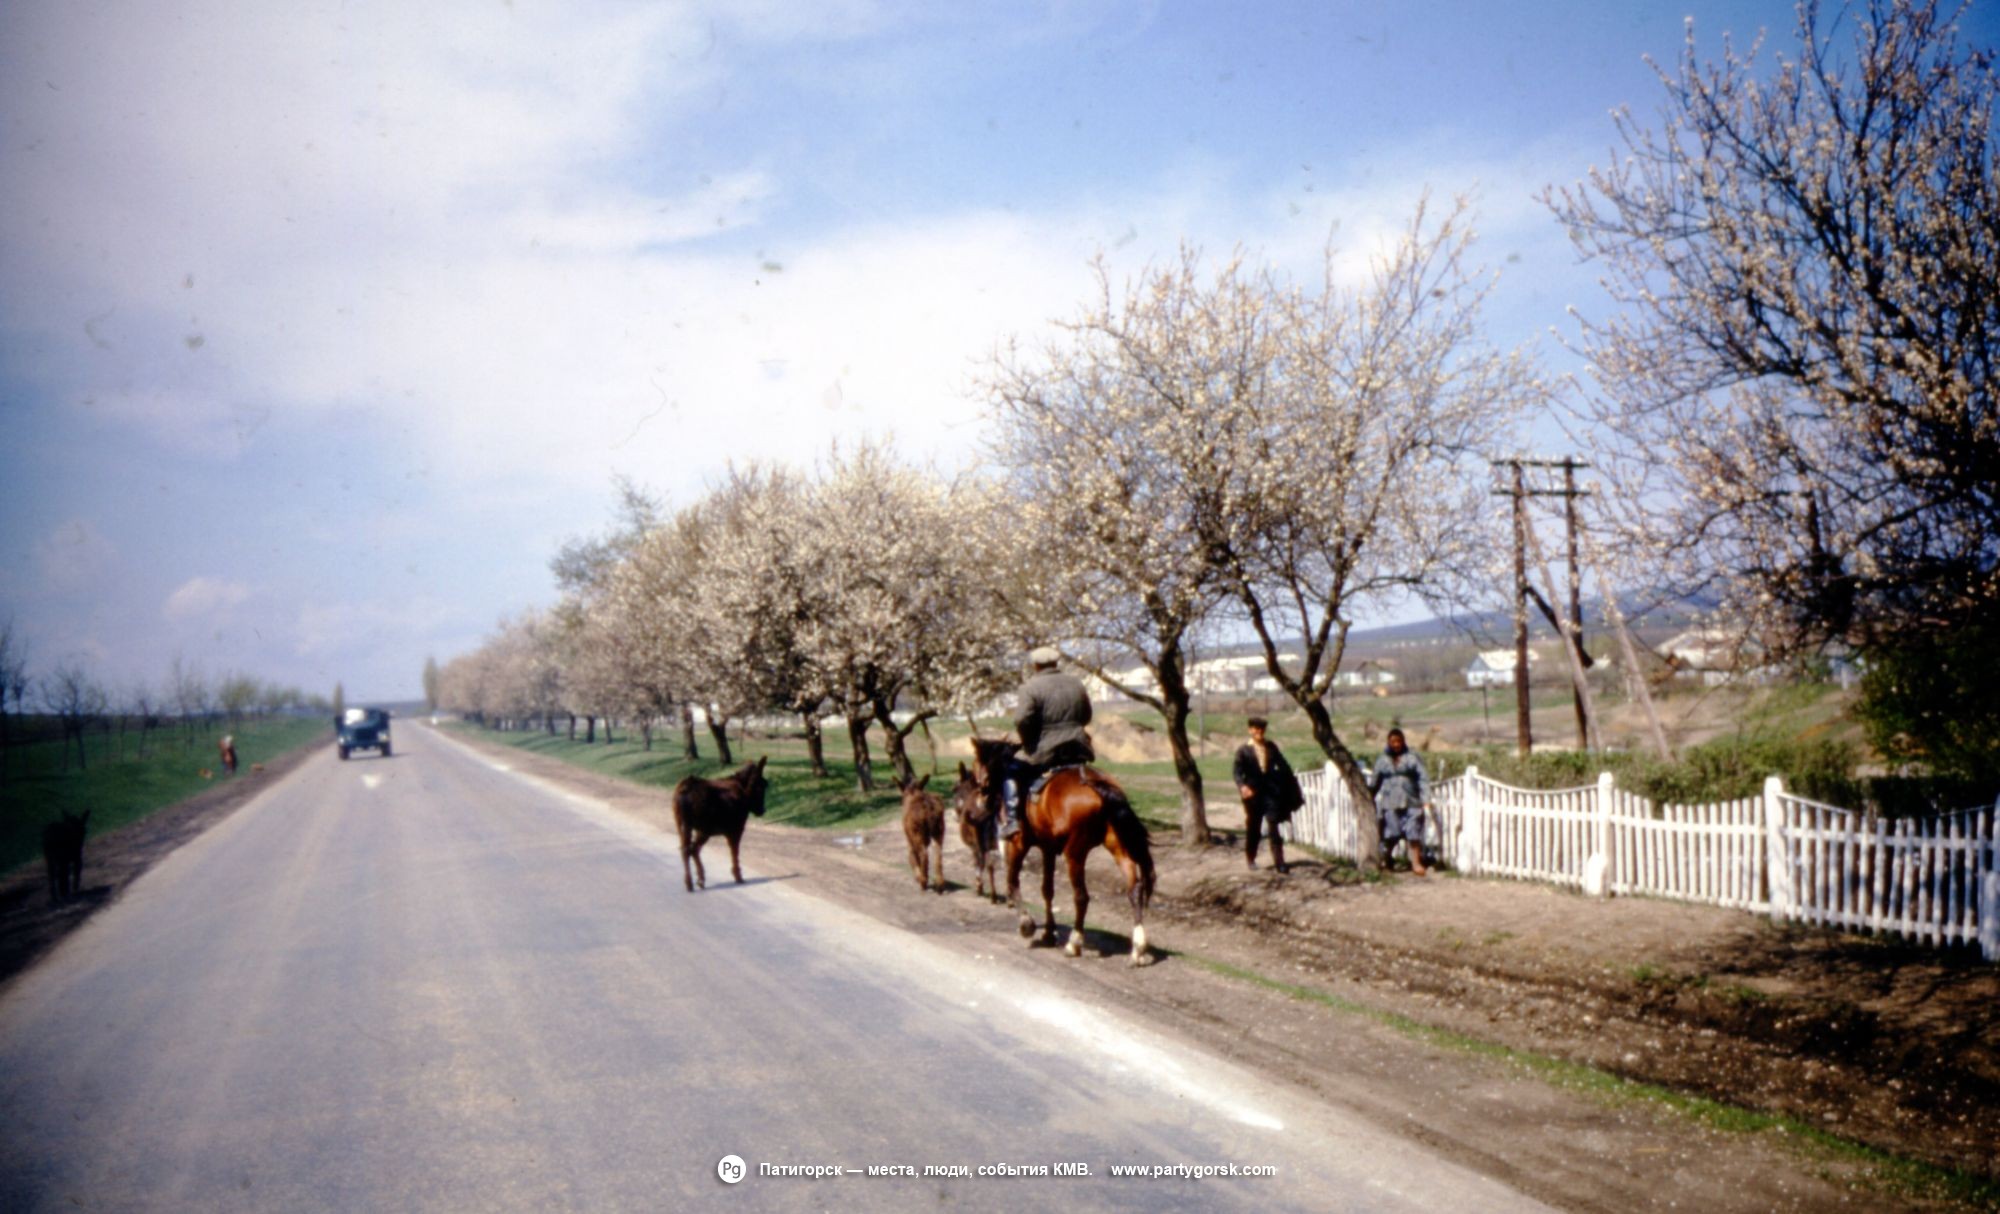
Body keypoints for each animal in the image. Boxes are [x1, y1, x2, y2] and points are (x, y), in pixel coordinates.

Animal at [672, 760, 764, 892]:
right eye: (763, 785)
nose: (762, 810)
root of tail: (684, 788)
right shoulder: (736, 829)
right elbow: (735, 852)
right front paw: (737, 875)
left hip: (685, 825)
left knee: (688, 849)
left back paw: (695, 880)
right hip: (703, 828)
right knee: (690, 849)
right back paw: (693, 881)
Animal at [952, 764, 1000, 908]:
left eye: (954, 789)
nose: (956, 816)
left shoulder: (974, 846)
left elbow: (977, 864)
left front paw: (979, 887)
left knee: (987, 864)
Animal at [972, 736, 1160, 964]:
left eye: (976, 765)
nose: (980, 800)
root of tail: (1100, 787)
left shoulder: (1018, 844)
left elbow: (1012, 881)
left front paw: (1027, 925)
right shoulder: (1048, 849)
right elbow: (1047, 890)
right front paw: (1048, 933)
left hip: (1075, 854)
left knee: (1081, 896)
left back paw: (1074, 943)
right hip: (1118, 847)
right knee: (1135, 889)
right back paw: (1138, 948)